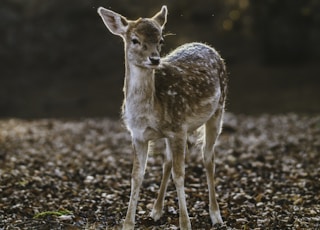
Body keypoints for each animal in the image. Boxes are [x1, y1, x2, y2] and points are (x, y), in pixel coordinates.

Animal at [99, 5, 226, 230]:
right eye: (135, 39)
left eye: (161, 40)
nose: (155, 59)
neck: (148, 113)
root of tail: (207, 46)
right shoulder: (138, 135)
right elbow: (136, 176)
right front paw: (128, 223)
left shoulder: (179, 128)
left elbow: (180, 175)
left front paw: (185, 223)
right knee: (167, 161)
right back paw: (156, 210)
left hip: (218, 110)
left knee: (208, 158)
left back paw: (216, 215)